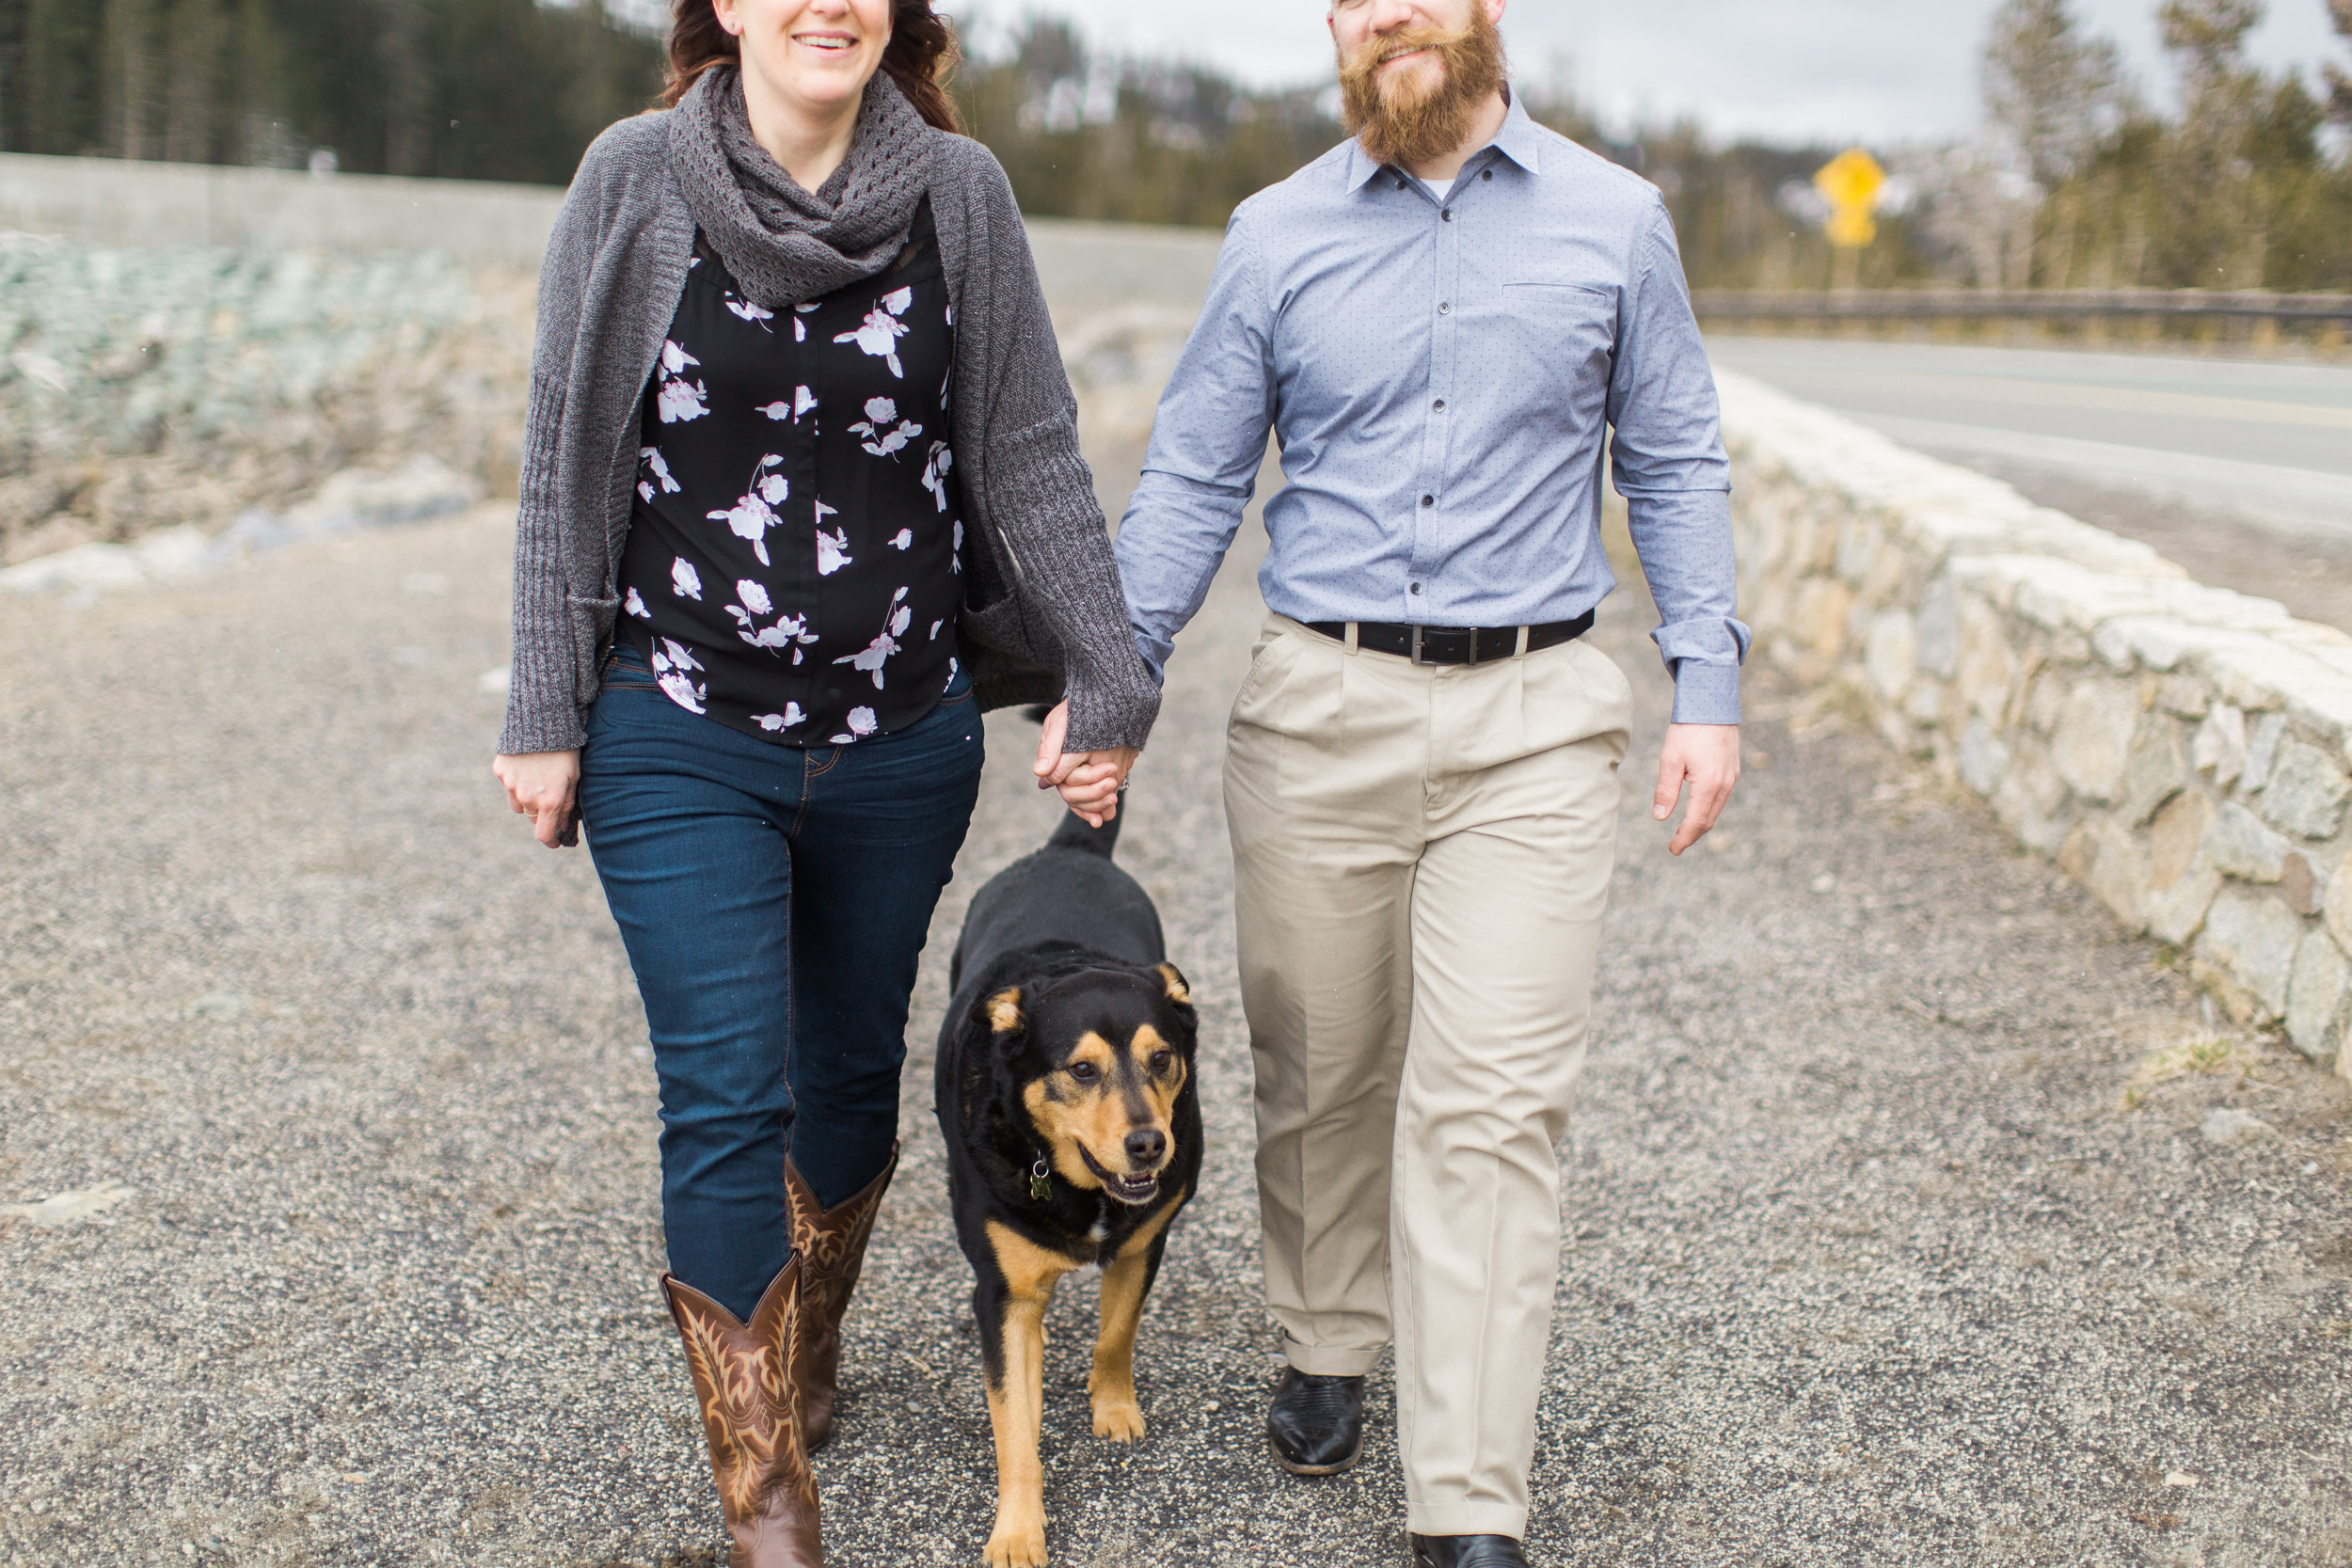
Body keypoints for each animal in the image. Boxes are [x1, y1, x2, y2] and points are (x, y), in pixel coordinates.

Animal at [931, 808, 1204, 1568]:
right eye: (1081, 1070)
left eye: (1162, 1059)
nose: (1150, 1144)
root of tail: (1070, 847)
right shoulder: (1002, 1295)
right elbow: (1013, 1425)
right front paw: (1018, 1531)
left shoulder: (1146, 1242)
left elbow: (1117, 1332)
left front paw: (1113, 1408)